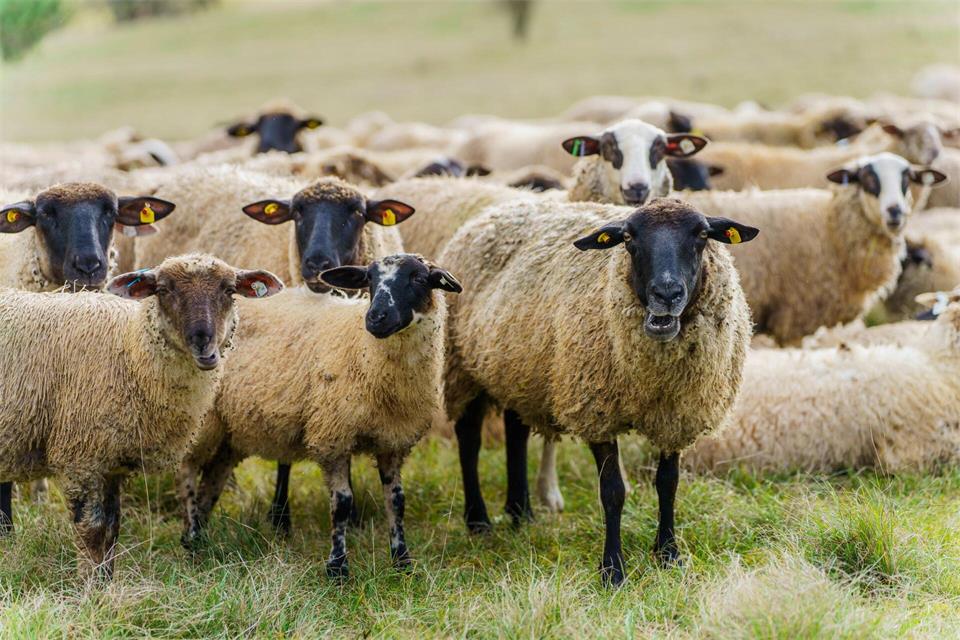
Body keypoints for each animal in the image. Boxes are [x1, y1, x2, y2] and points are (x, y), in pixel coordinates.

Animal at [0, 254, 283, 579]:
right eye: (164, 290)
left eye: (228, 289)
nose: (203, 344)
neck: (130, 351)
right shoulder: (80, 457)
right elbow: (92, 531)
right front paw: (88, 586)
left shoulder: (112, 463)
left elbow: (112, 530)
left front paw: (106, 584)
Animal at [177, 254, 461, 578]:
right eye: (370, 280)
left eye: (419, 278)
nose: (376, 318)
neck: (363, 352)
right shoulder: (332, 435)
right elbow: (342, 503)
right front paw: (337, 568)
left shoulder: (392, 441)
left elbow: (396, 500)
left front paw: (402, 562)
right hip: (201, 421)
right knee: (187, 471)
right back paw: (191, 538)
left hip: (229, 432)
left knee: (212, 480)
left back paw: (201, 537)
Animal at [437, 197, 758, 585]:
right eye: (629, 238)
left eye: (702, 235)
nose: (666, 294)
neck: (655, 376)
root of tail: (494, 210)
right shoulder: (597, 410)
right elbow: (613, 492)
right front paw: (613, 570)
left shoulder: (677, 414)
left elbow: (668, 483)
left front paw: (668, 554)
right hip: (463, 368)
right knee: (469, 439)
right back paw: (479, 520)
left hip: (520, 368)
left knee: (515, 431)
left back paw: (521, 512)